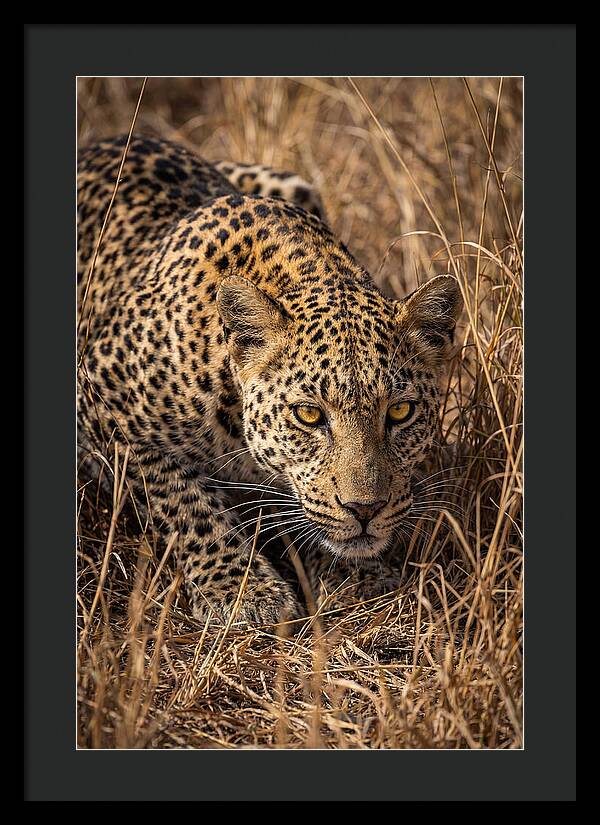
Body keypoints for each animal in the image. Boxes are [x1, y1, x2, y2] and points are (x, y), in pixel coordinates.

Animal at [77, 134, 461, 626]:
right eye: (309, 415)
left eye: (400, 411)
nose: (365, 510)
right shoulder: (100, 398)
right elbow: (183, 501)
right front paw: (243, 591)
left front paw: (357, 577)